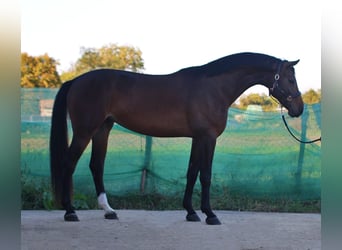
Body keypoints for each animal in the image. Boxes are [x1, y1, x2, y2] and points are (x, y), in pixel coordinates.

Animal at [49, 52, 304, 225]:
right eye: (291, 80)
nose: (299, 109)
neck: (213, 88)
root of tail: (76, 81)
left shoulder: (197, 138)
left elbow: (192, 173)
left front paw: (191, 212)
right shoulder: (208, 138)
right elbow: (206, 175)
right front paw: (210, 214)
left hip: (103, 129)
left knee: (96, 166)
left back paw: (108, 210)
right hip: (84, 131)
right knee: (68, 164)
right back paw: (70, 211)